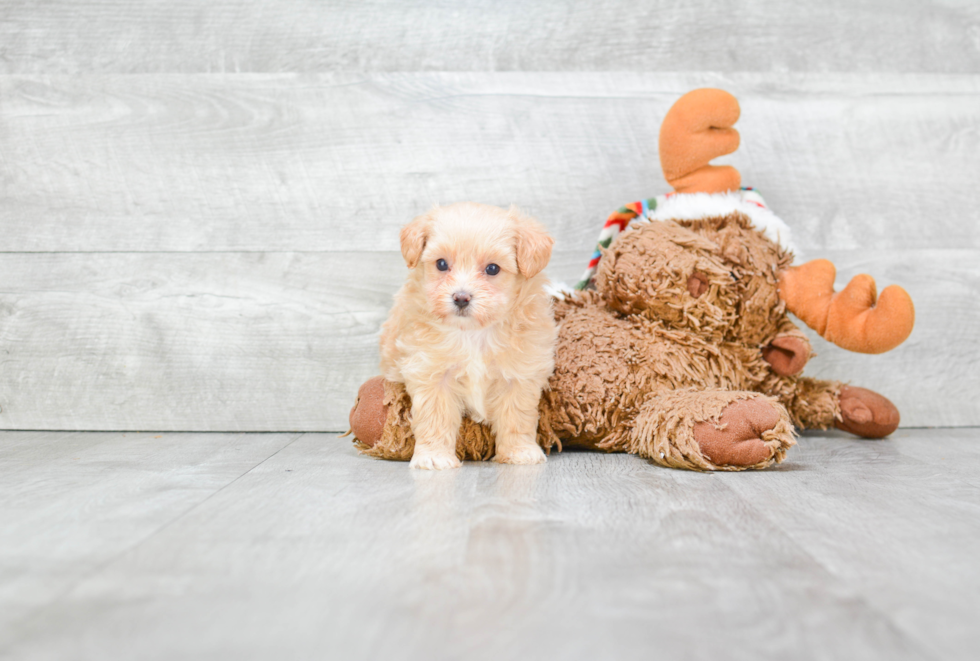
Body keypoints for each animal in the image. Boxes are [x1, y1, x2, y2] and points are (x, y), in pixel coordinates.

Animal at [378, 202, 556, 470]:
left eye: (492, 269)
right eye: (441, 264)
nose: (461, 298)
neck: (473, 333)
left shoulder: (519, 375)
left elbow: (517, 416)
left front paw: (519, 451)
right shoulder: (432, 372)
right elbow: (435, 417)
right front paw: (435, 456)